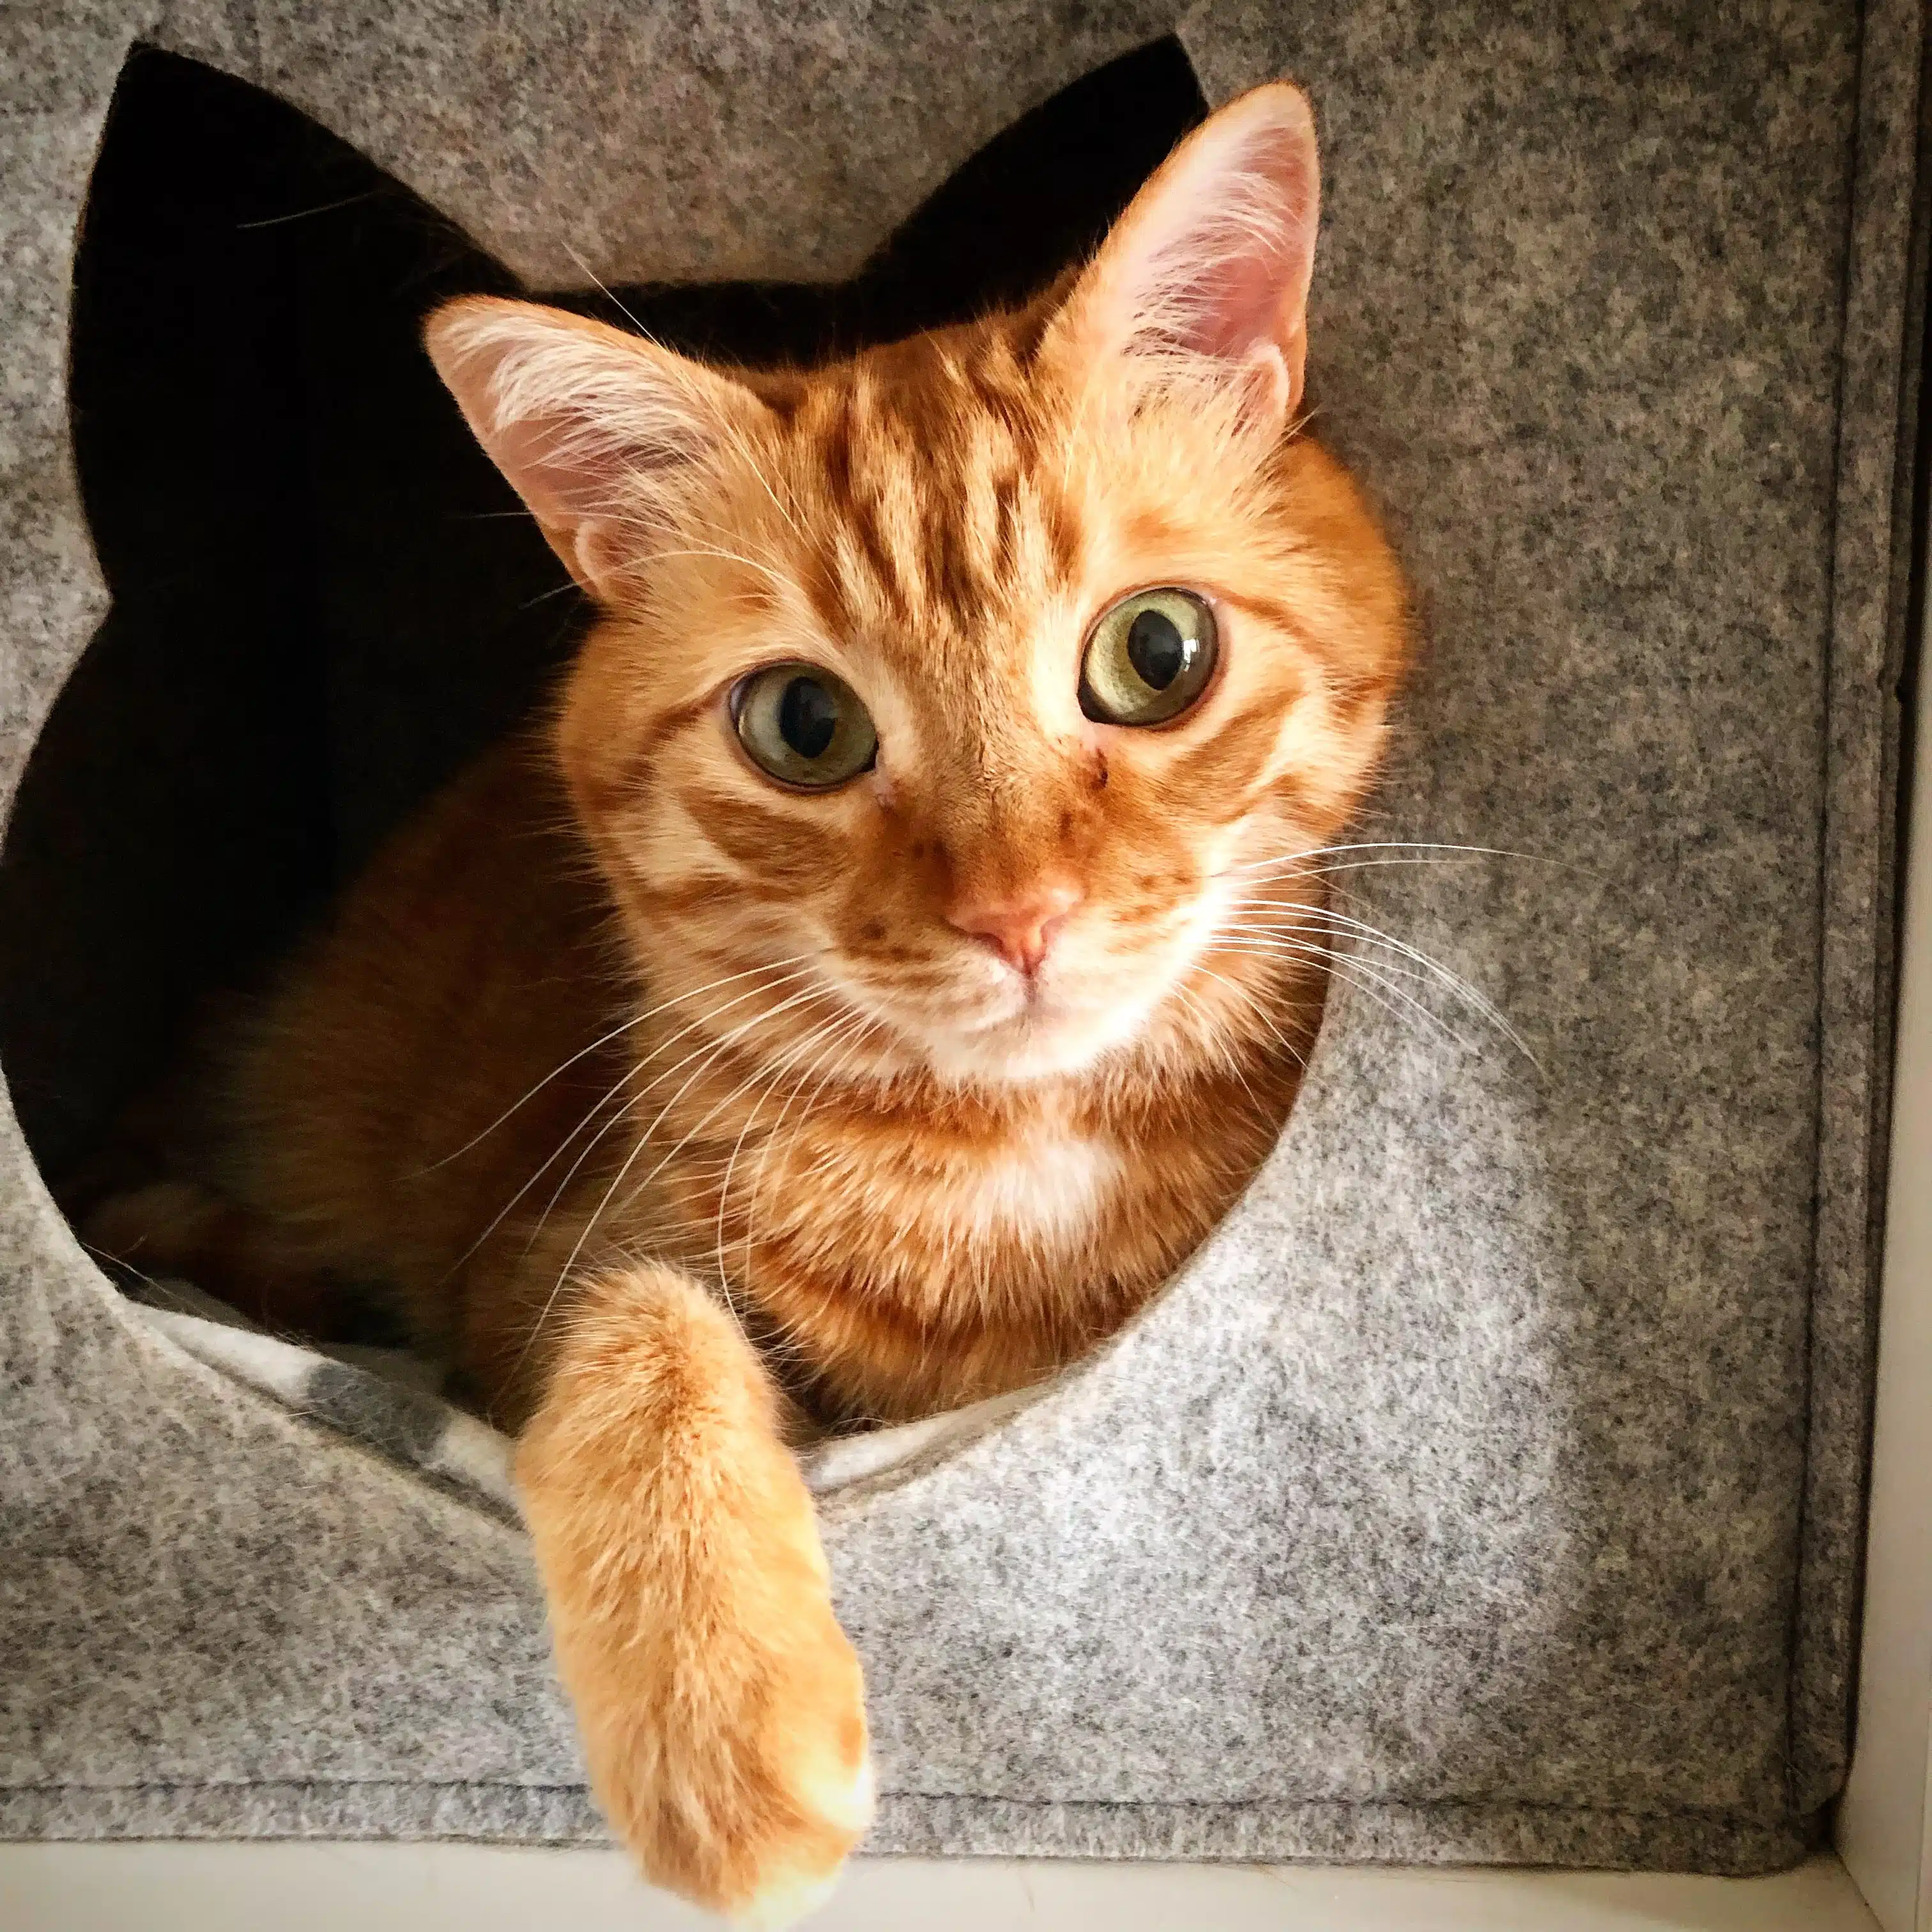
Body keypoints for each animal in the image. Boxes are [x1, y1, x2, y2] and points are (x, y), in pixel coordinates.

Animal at [87, 91, 1406, 1932]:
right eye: (805, 726)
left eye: (1157, 654)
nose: (1019, 917)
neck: (1015, 1150)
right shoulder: (558, 1253)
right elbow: (646, 1334)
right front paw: (723, 1719)